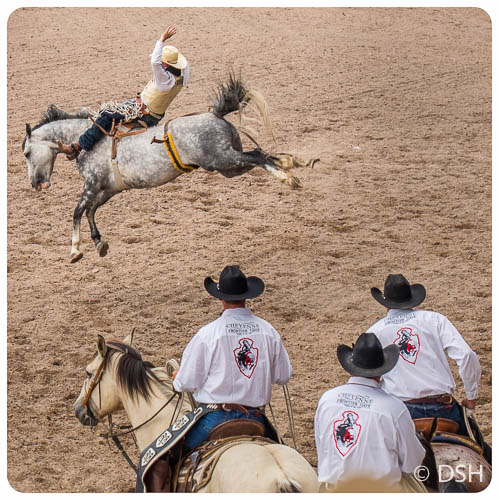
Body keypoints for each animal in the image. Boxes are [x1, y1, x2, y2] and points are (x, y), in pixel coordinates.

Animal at [23, 75, 304, 263]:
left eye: (26, 153)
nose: (36, 184)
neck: (85, 138)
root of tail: (215, 115)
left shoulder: (91, 185)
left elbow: (77, 211)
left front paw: (75, 249)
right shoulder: (108, 189)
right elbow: (92, 211)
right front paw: (99, 242)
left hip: (222, 159)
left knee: (257, 155)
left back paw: (287, 177)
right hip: (228, 165)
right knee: (259, 155)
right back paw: (289, 164)